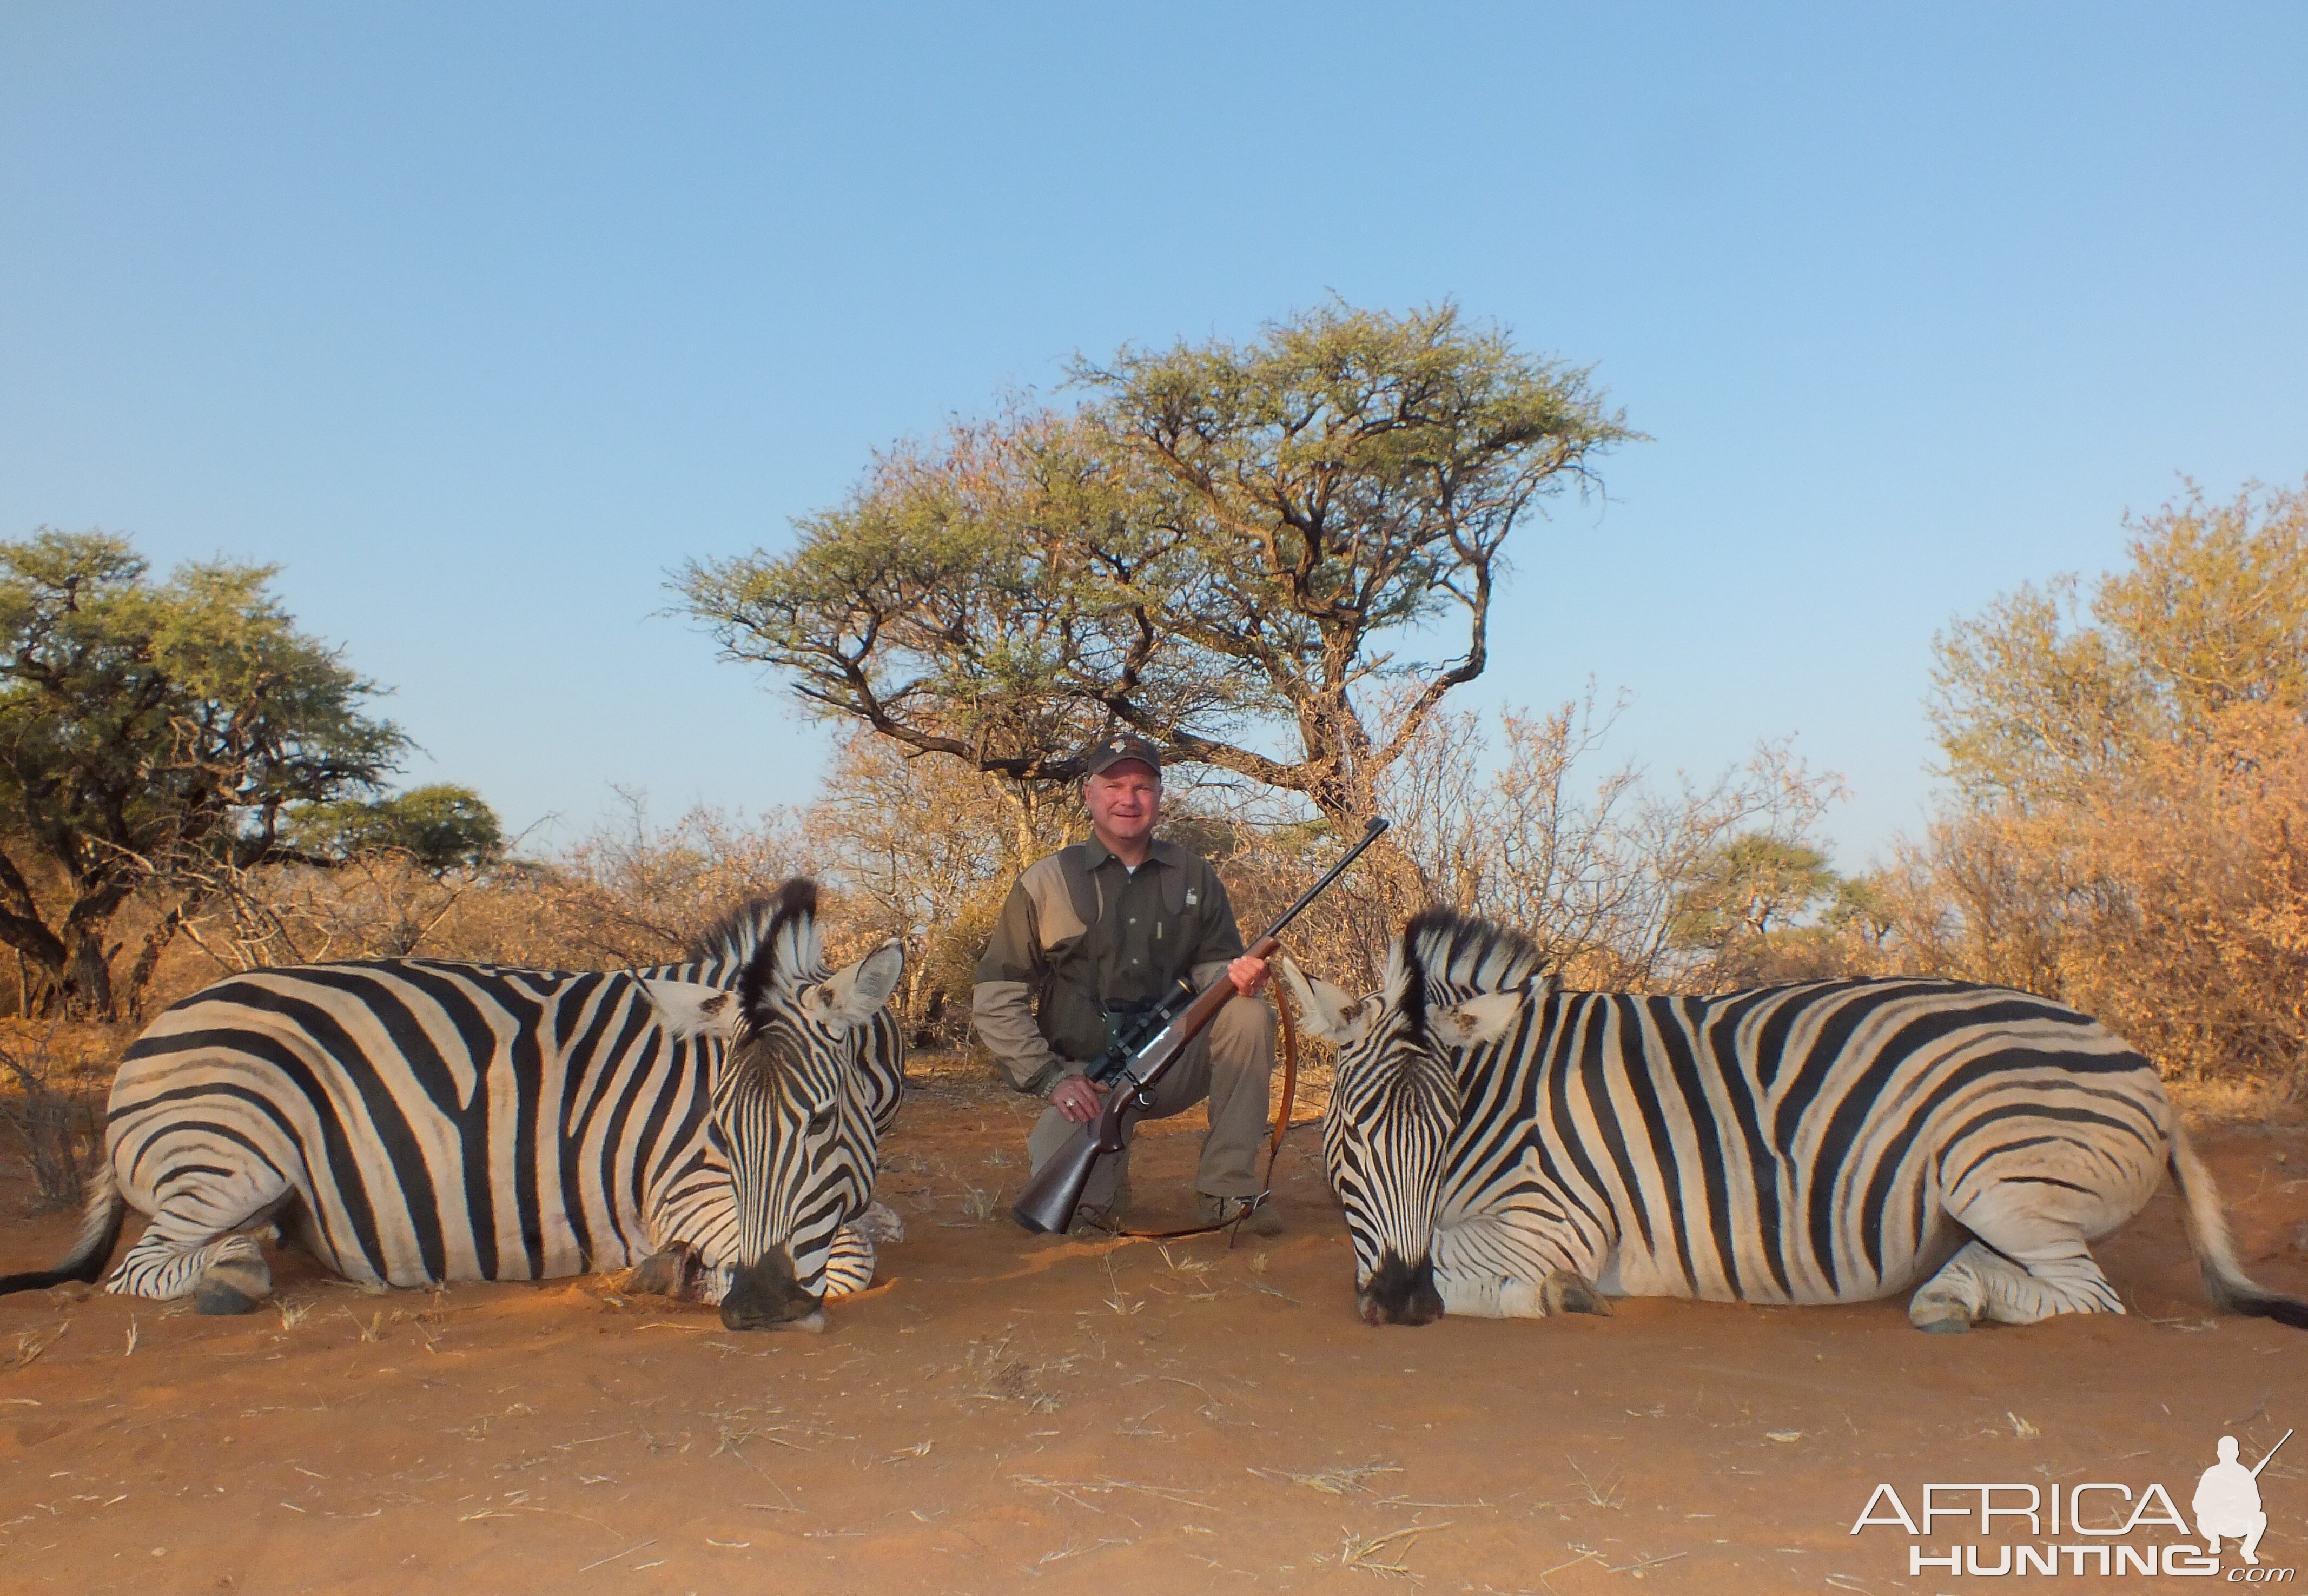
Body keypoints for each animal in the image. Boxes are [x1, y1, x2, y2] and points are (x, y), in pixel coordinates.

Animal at [0, 881, 900, 1328]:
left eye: (821, 1121)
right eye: (717, 1129)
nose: (755, 1308)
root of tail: (151, 1031)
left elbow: (871, 1224)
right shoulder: (680, 1187)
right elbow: (848, 1257)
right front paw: (678, 1273)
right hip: (233, 1153)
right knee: (146, 1265)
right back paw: (232, 1271)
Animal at [1283, 909, 2308, 1337]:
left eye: (1439, 1133)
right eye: (1354, 1132)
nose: (1401, 1304)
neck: (1504, 1090)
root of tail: (2153, 1077)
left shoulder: (1557, 1219)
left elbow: (1466, 1266)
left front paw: (1553, 1295)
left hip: (1990, 1169)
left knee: (2088, 1293)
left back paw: (1959, 1301)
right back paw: (1951, 1288)